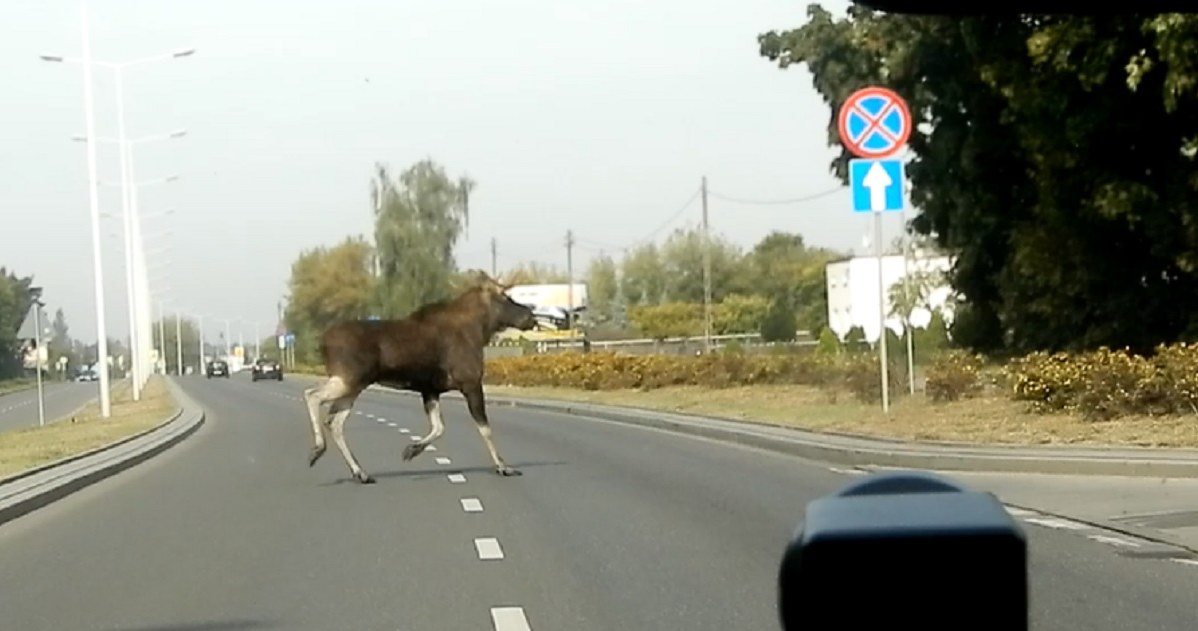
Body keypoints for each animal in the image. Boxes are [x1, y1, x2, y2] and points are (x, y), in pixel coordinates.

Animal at [301, 271, 536, 483]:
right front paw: (503, 467)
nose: (530, 316)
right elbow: (485, 429)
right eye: (505, 296)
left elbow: (439, 427)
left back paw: (360, 472)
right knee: (312, 395)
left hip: (355, 385)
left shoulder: (430, 390)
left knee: (334, 421)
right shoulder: (470, 382)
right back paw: (318, 449)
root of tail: (322, 343)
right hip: (348, 378)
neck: (481, 330)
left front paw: (412, 449)